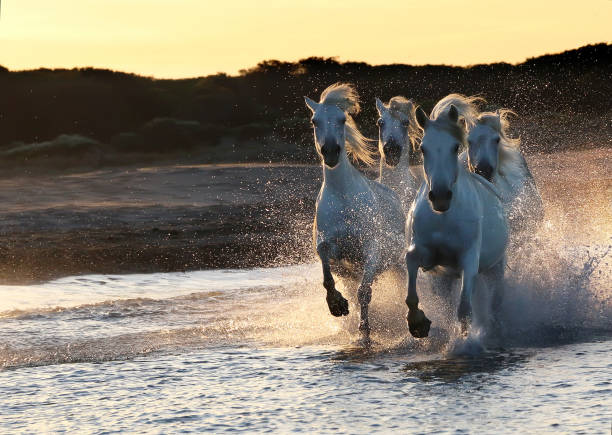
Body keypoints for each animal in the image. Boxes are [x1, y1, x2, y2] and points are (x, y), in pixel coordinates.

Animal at [304, 82, 406, 340]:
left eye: (342, 119)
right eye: (314, 121)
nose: (330, 151)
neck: (343, 197)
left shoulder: (371, 249)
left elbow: (365, 292)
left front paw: (365, 331)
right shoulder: (329, 247)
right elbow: (328, 276)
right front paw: (337, 305)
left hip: (397, 264)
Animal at [404, 97, 510, 338]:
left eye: (454, 147)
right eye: (423, 148)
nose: (440, 196)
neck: (444, 219)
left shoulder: (469, 260)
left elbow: (464, 310)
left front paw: (465, 342)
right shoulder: (428, 255)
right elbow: (411, 261)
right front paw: (417, 322)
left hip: (495, 268)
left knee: (495, 301)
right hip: (444, 280)